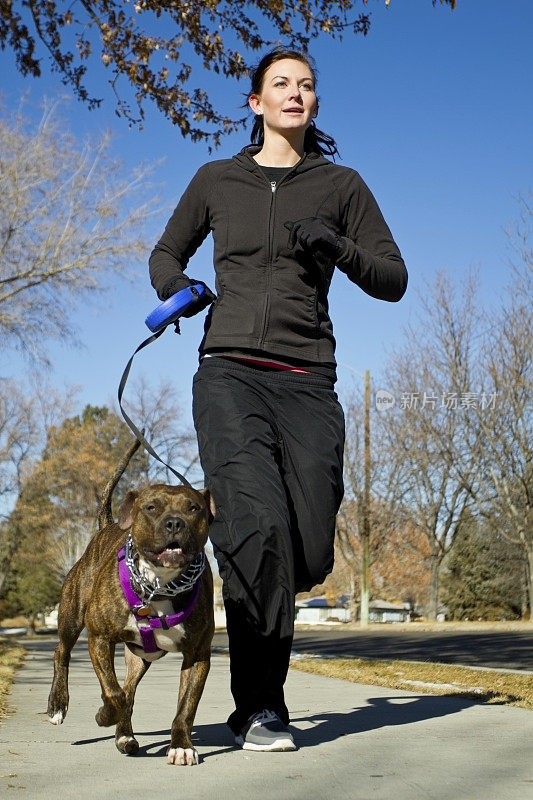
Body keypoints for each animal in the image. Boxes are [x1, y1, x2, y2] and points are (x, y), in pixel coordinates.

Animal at [47, 440, 214, 764]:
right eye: (151, 507)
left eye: (194, 508)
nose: (174, 523)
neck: (160, 584)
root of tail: (106, 526)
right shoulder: (99, 638)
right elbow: (112, 693)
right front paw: (104, 714)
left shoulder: (198, 655)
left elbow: (186, 706)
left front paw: (182, 745)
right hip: (72, 616)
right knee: (62, 653)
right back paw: (58, 705)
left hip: (140, 658)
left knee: (130, 689)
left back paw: (125, 736)